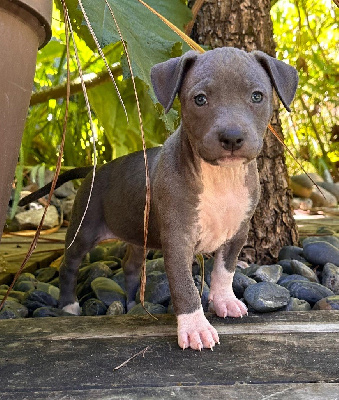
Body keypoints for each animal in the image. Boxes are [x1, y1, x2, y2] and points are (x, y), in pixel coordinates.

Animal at [20, 47, 298, 350]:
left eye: (257, 96)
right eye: (200, 99)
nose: (232, 137)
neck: (220, 177)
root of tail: (95, 170)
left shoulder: (237, 232)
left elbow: (225, 271)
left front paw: (225, 301)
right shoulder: (177, 238)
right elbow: (184, 285)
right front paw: (195, 327)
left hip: (137, 234)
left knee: (131, 267)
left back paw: (133, 304)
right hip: (84, 228)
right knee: (69, 265)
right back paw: (69, 305)